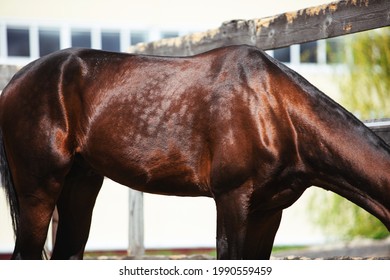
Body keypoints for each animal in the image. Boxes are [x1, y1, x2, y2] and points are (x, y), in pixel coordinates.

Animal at [0, 44, 388, 260]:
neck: (274, 109)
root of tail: (13, 82)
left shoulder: (269, 211)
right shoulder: (232, 201)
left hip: (80, 184)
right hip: (39, 188)